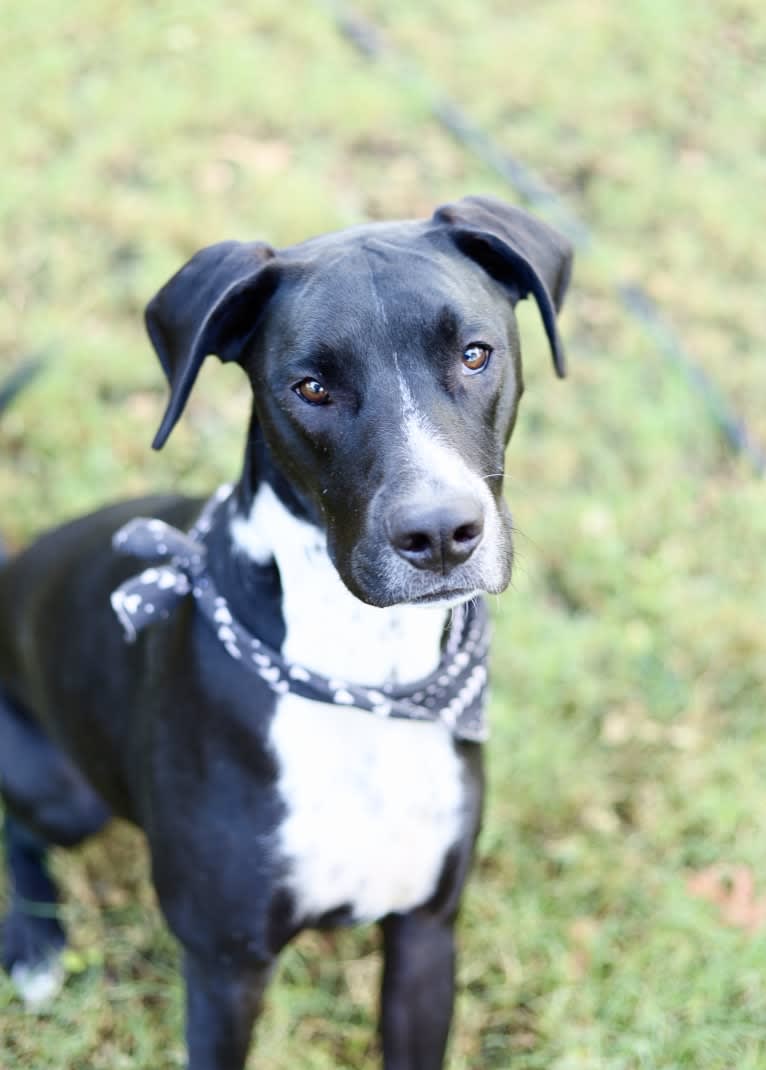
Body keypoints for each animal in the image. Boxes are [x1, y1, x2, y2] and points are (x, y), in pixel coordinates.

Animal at [0, 196, 573, 1065]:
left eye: (475, 354)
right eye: (311, 387)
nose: (441, 534)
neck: (363, 681)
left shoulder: (427, 934)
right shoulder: (225, 967)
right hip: (68, 797)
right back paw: (33, 944)